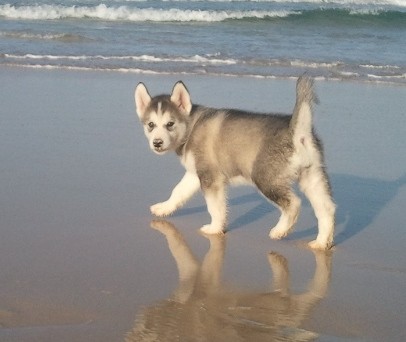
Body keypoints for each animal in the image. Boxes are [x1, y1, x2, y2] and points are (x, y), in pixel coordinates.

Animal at [135, 76, 334, 250]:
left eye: (170, 124)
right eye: (151, 125)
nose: (157, 143)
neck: (191, 126)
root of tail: (297, 131)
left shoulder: (211, 178)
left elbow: (215, 207)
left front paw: (215, 228)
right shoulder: (194, 174)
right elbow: (178, 191)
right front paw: (164, 208)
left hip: (265, 178)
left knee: (294, 204)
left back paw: (280, 230)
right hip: (312, 177)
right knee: (327, 208)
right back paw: (321, 243)